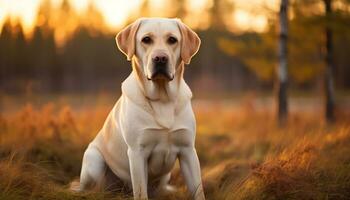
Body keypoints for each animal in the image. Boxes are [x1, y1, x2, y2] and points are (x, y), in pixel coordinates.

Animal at [74, 17, 205, 200]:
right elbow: (141, 192)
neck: (162, 99)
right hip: (94, 160)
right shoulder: (137, 152)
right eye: (146, 39)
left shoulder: (188, 151)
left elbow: (199, 191)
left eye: (172, 40)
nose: (160, 58)